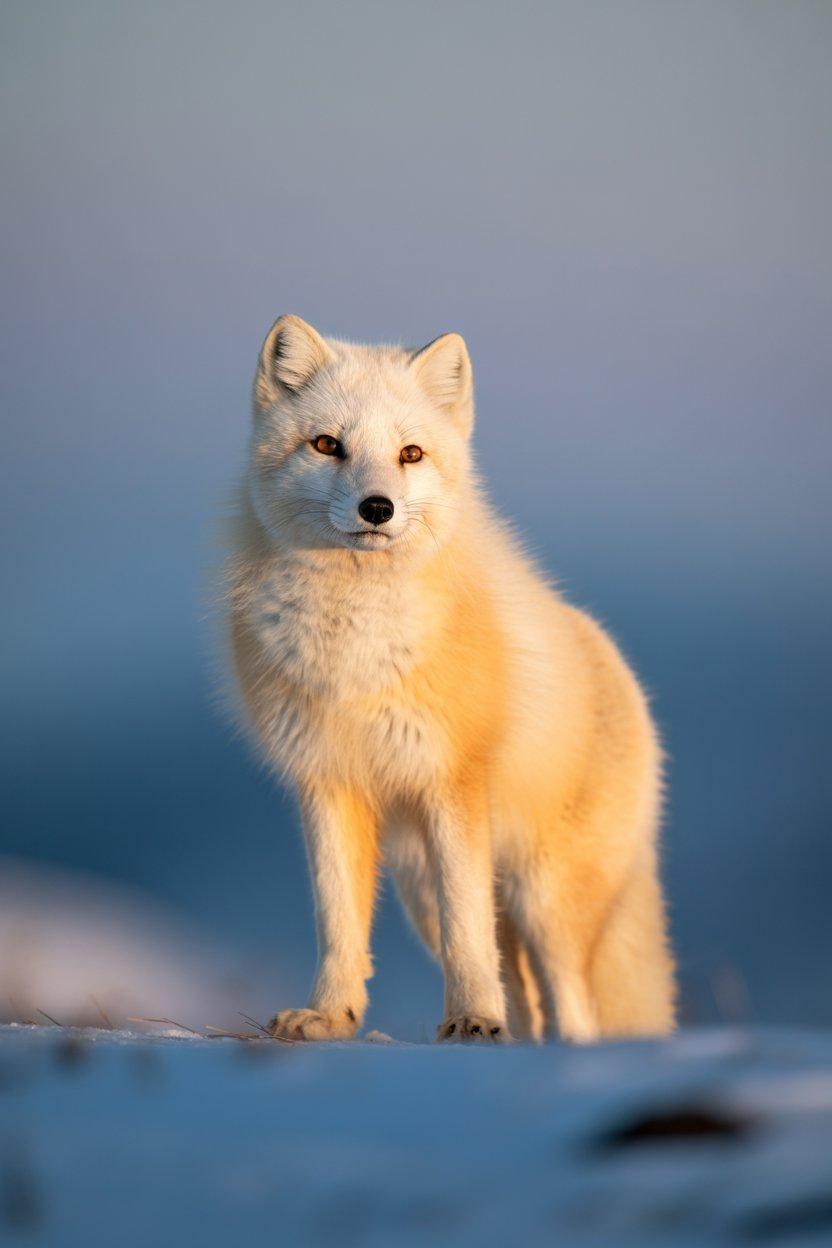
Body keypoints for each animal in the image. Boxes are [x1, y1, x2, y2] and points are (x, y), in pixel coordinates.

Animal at [226, 315, 676, 1044]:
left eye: (410, 453)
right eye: (327, 446)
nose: (377, 508)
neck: (356, 646)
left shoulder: (451, 781)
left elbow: (469, 935)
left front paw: (470, 1019)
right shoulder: (327, 781)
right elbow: (339, 923)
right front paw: (331, 1016)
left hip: (544, 896)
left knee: (571, 1004)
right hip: (425, 892)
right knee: (525, 993)